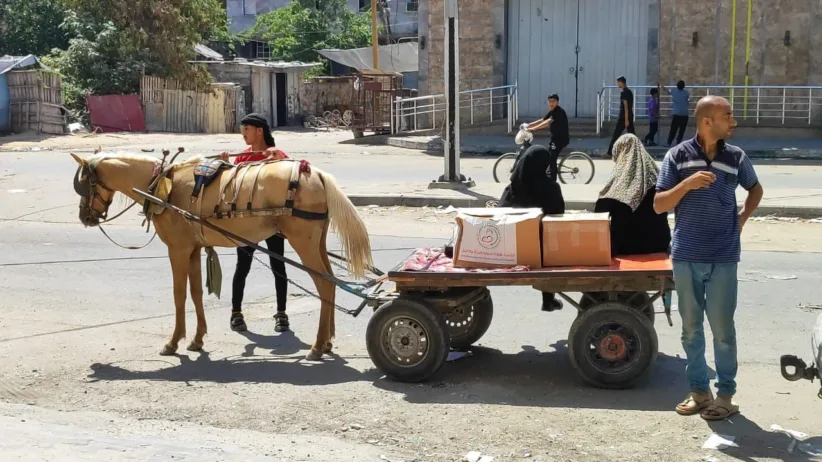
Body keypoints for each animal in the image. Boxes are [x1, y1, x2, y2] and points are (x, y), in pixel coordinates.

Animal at [71, 152, 374, 360]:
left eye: (83, 184)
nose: (84, 217)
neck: (161, 185)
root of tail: (315, 173)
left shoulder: (177, 249)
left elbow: (179, 295)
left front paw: (173, 342)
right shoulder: (193, 249)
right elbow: (195, 292)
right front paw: (197, 339)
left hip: (303, 242)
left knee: (324, 286)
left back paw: (317, 346)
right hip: (317, 243)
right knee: (331, 281)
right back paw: (328, 341)